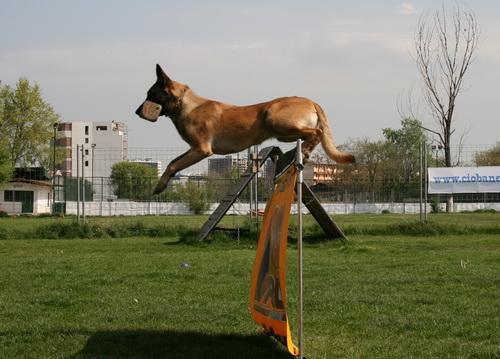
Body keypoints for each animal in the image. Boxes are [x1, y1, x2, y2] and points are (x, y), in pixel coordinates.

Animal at [136, 64, 356, 194]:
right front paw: (161, 184)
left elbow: (174, 165)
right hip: (283, 133)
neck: (184, 104)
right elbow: (171, 162)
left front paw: (160, 186)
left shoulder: (201, 149)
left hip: (275, 119)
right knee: (311, 135)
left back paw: (305, 152)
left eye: (150, 94)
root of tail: (310, 100)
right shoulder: (193, 149)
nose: (137, 112)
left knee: (316, 133)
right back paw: (303, 152)